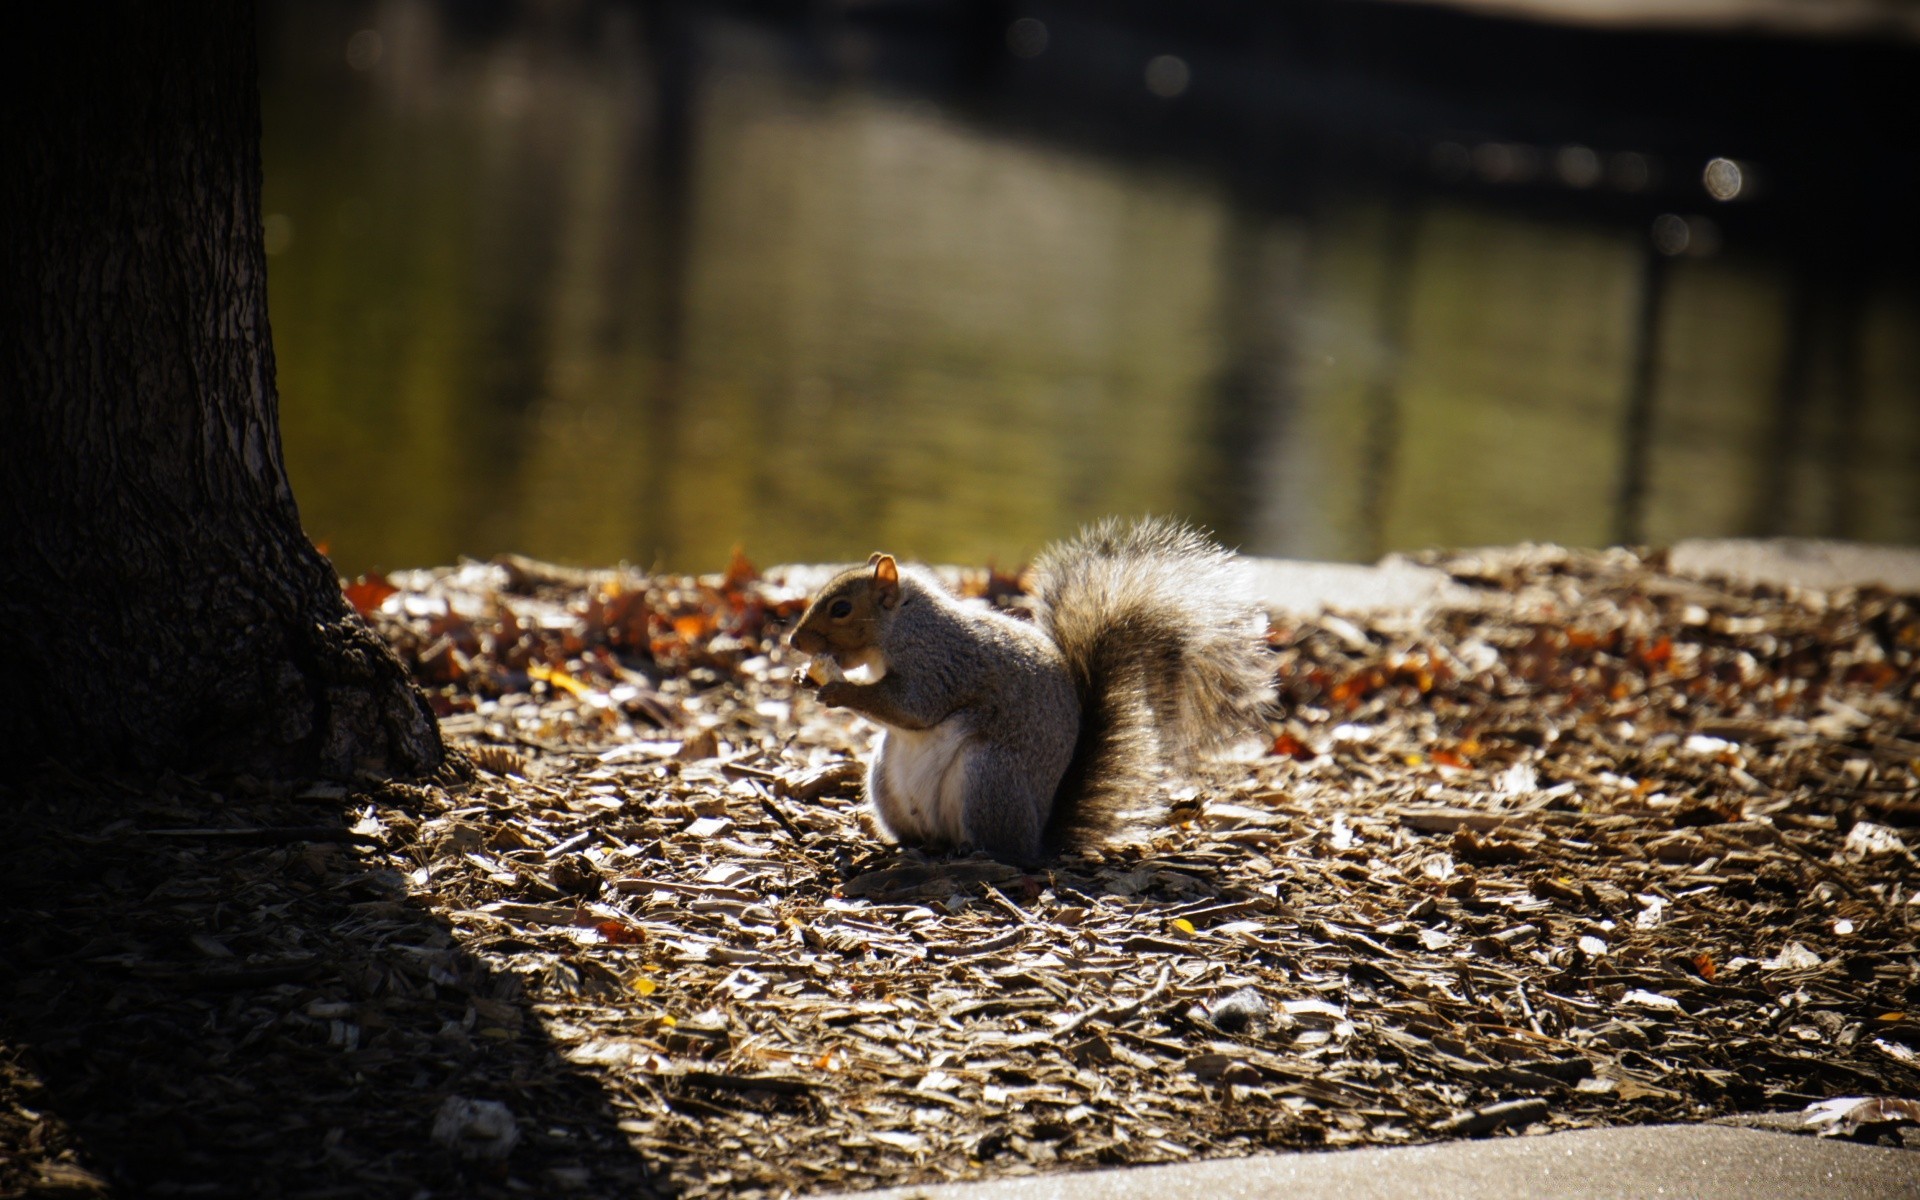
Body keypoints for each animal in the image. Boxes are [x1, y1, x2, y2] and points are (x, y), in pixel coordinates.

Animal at [787, 514, 1267, 860]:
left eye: (841, 608)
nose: (794, 642)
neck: (903, 622)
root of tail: (1038, 836)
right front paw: (805, 678)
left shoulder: (939, 662)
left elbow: (912, 707)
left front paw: (840, 690)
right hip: (885, 780)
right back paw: (914, 843)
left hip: (989, 776)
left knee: (1002, 848)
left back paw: (973, 850)